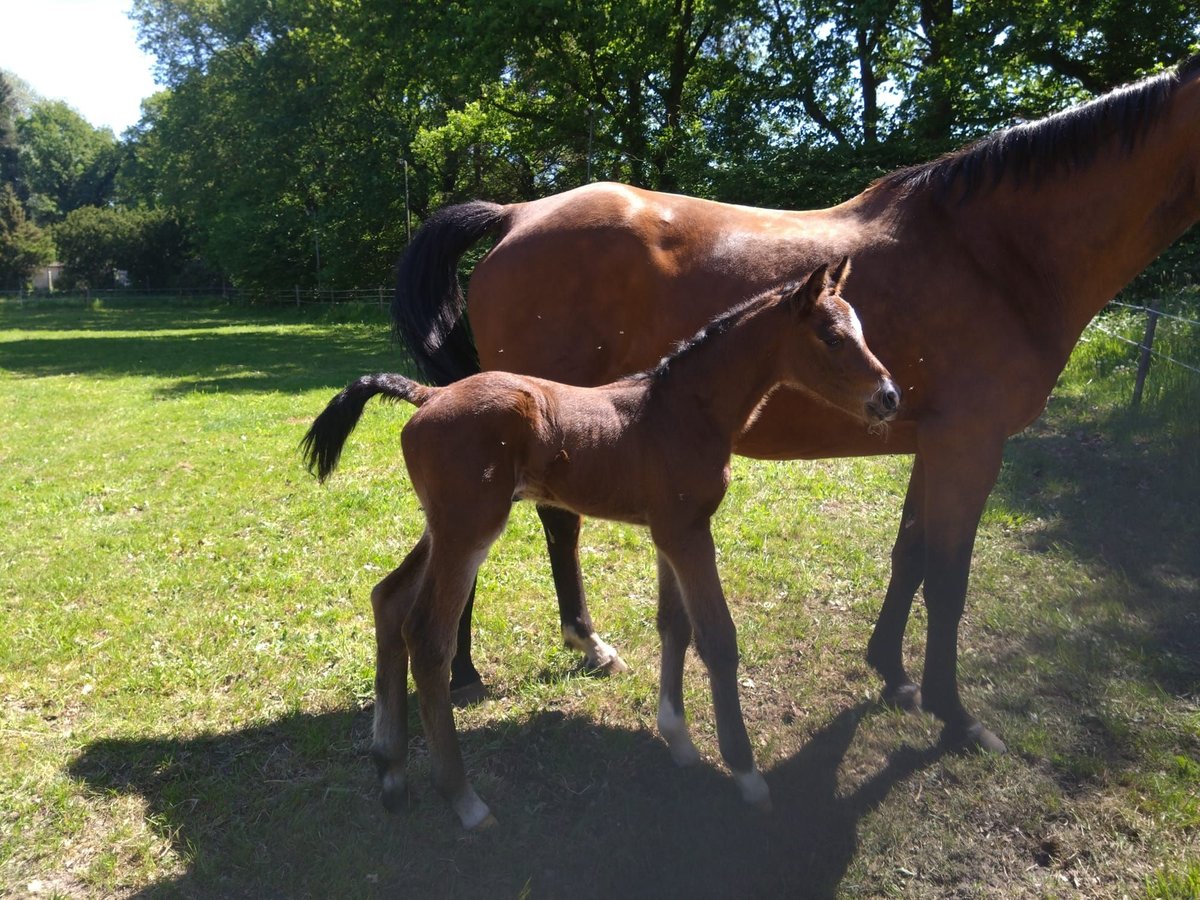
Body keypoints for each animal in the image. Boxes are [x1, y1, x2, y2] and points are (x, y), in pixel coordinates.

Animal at [304, 256, 897, 830]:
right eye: (831, 337)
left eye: (863, 331)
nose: (889, 397)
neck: (683, 411)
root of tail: (427, 394)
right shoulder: (688, 533)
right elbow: (717, 639)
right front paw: (747, 775)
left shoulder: (669, 532)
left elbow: (674, 626)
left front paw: (677, 738)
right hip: (469, 529)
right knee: (427, 637)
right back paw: (465, 800)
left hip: (444, 526)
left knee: (388, 599)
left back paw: (391, 771)